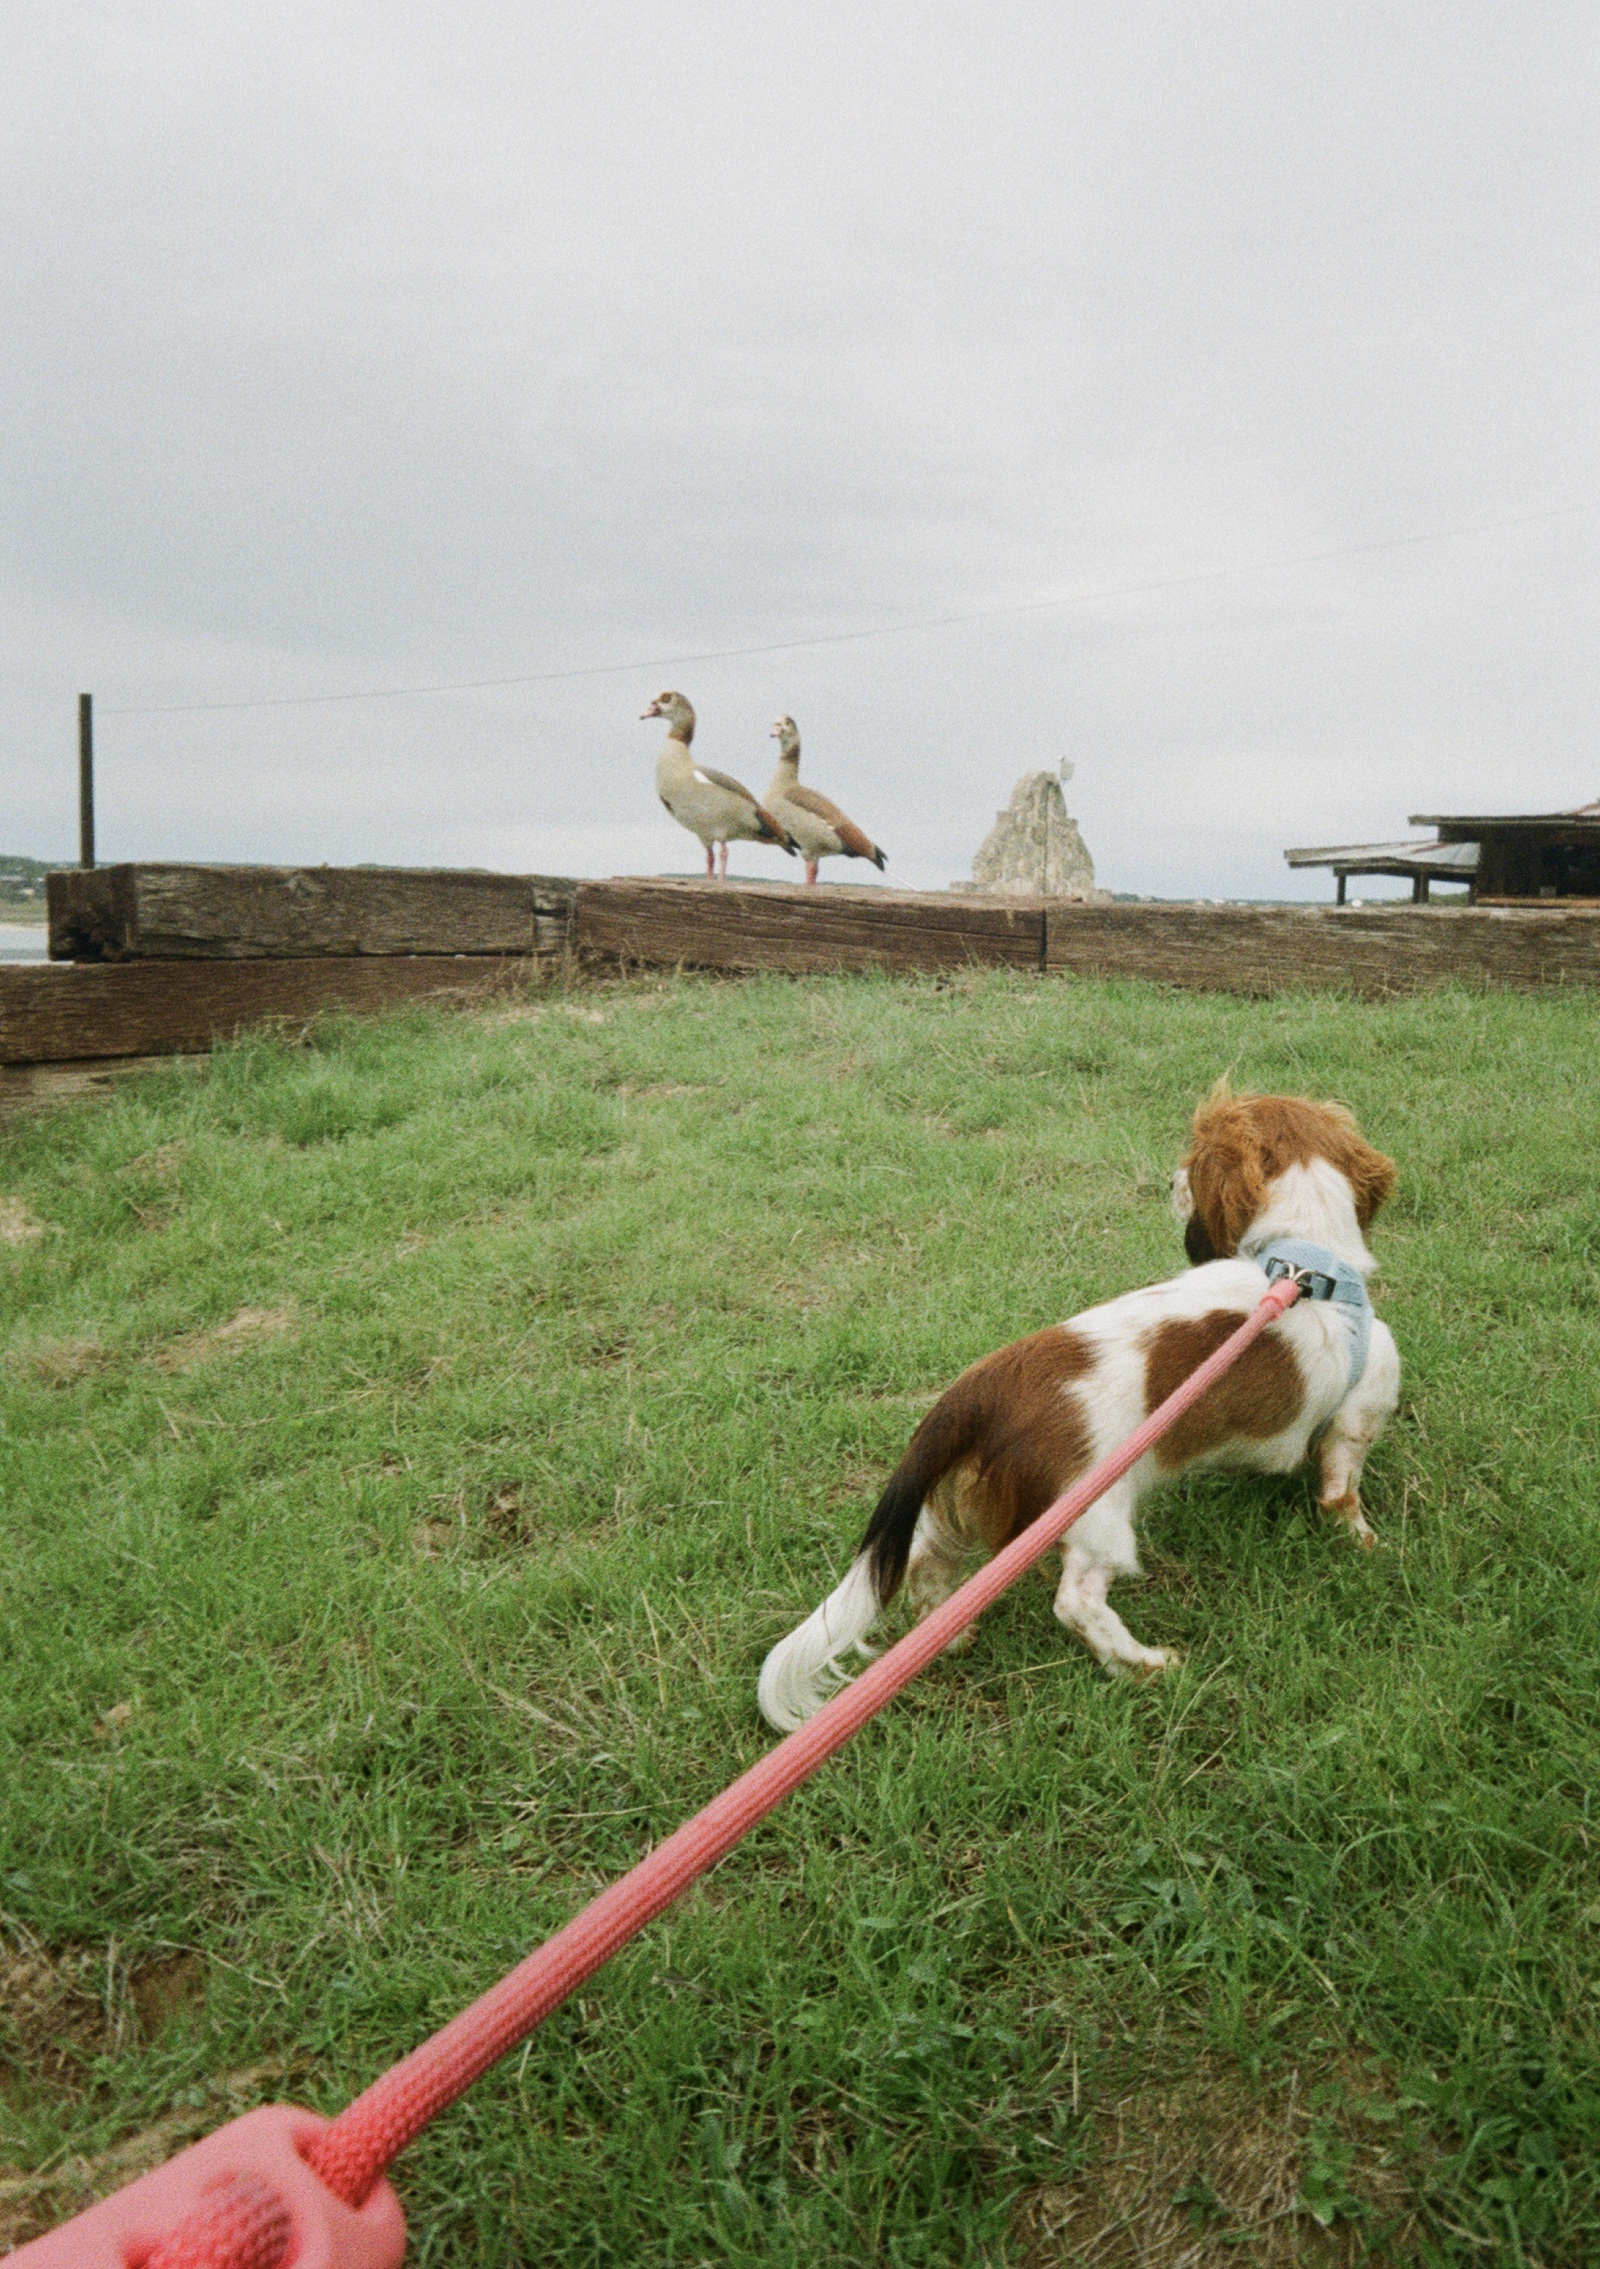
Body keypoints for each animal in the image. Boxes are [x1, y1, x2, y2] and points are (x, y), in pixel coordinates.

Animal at [753, 1089, 1388, 1724]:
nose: (1169, 1179)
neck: (1309, 1261)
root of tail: (980, 1389)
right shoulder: (1358, 1416)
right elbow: (1342, 1492)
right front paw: (1363, 1542)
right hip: (1095, 1516)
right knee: (1075, 1602)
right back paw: (1145, 1666)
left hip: (959, 1501)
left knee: (925, 1561)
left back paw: (953, 1638)